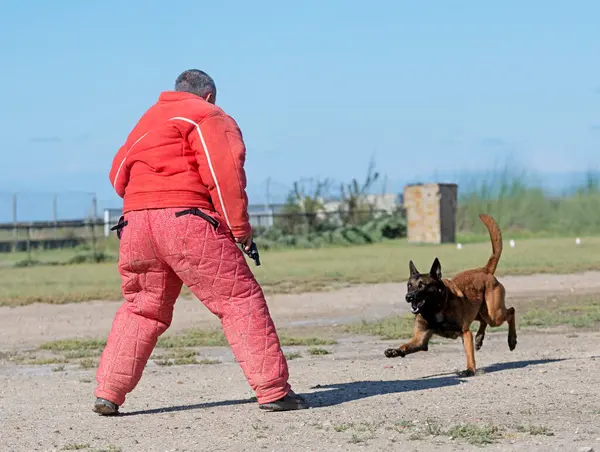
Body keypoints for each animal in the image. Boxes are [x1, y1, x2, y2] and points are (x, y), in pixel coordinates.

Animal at [384, 214, 516, 376]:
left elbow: (469, 354)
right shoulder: (420, 339)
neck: (436, 308)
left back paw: (511, 340)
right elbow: (406, 346)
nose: (408, 297)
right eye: (409, 285)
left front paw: (469, 369)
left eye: (422, 285)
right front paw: (394, 351)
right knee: (484, 321)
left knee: (511, 311)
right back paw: (479, 338)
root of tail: (484, 270)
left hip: (494, 315)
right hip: (481, 312)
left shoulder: (465, 332)